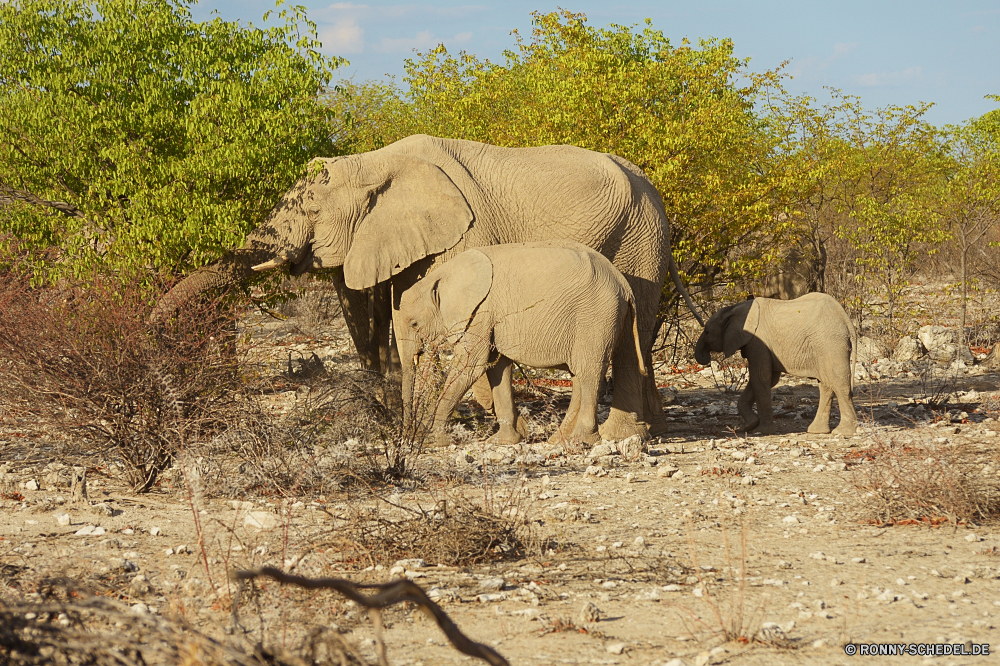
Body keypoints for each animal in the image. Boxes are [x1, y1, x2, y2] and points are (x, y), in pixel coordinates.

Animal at [394, 240, 644, 446]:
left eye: (414, 324)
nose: (406, 439)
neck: (443, 274)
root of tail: (625, 285)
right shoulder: (491, 316)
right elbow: (497, 366)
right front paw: (502, 442)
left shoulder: (481, 311)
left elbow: (472, 365)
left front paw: (433, 442)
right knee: (579, 376)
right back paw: (558, 440)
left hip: (596, 318)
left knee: (589, 373)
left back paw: (580, 441)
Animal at [696, 294, 860, 436]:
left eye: (707, 331)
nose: (707, 358)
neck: (736, 308)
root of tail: (846, 320)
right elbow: (769, 379)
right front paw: (749, 426)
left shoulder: (757, 341)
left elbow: (760, 377)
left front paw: (761, 431)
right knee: (826, 384)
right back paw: (817, 431)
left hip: (830, 343)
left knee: (838, 382)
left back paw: (843, 432)